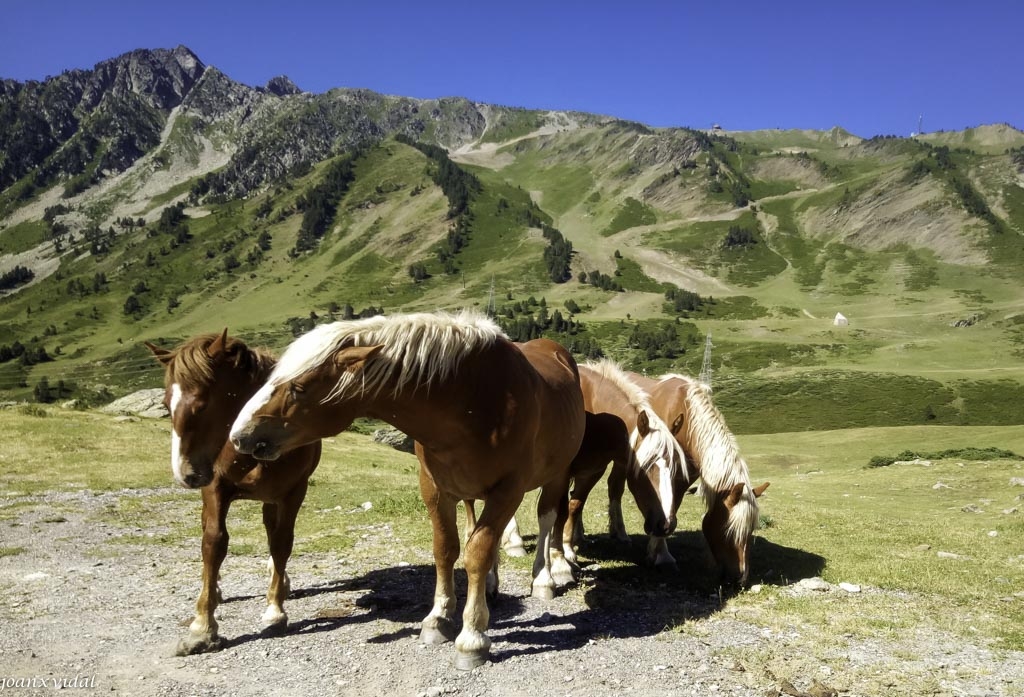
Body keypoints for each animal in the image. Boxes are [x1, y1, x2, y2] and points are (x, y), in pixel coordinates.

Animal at [146, 329, 321, 655]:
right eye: (165, 404)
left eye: (202, 404)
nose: (184, 473)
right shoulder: (215, 488)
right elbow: (214, 542)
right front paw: (202, 628)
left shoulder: (293, 492)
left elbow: (281, 543)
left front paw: (275, 610)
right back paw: (215, 589)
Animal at [230, 311, 585, 667]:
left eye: (299, 387)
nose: (239, 436)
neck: (475, 402)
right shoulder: (434, 488)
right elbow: (447, 550)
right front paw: (438, 619)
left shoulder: (506, 491)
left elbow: (477, 554)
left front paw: (472, 638)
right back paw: (491, 586)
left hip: (555, 474)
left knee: (545, 520)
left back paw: (544, 578)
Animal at [630, 372, 770, 585]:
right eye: (728, 530)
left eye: (751, 531)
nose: (740, 578)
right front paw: (660, 556)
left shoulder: (682, 483)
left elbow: (671, 510)